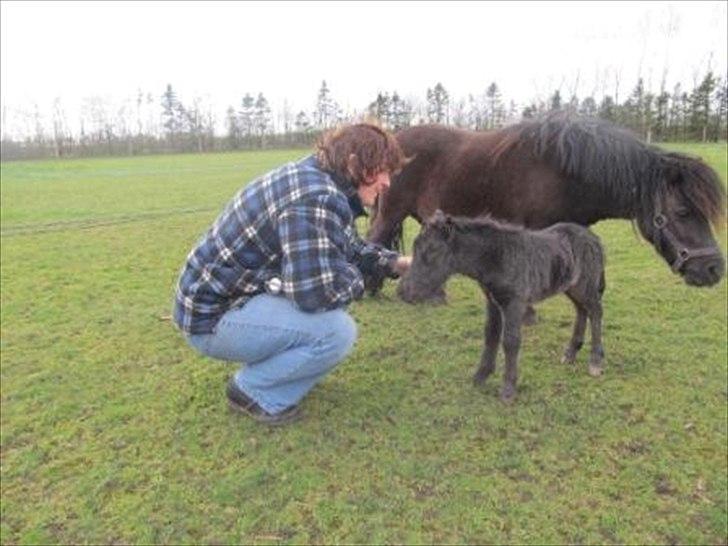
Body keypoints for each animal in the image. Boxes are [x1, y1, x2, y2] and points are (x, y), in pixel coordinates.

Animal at [396, 210, 604, 402]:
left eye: (431, 250)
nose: (404, 293)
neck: (498, 257)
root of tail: (593, 238)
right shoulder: (493, 302)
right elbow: (491, 335)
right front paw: (480, 376)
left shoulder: (514, 303)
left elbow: (510, 341)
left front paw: (508, 388)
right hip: (572, 287)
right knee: (581, 310)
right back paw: (571, 353)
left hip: (585, 285)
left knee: (595, 312)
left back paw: (595, 361)